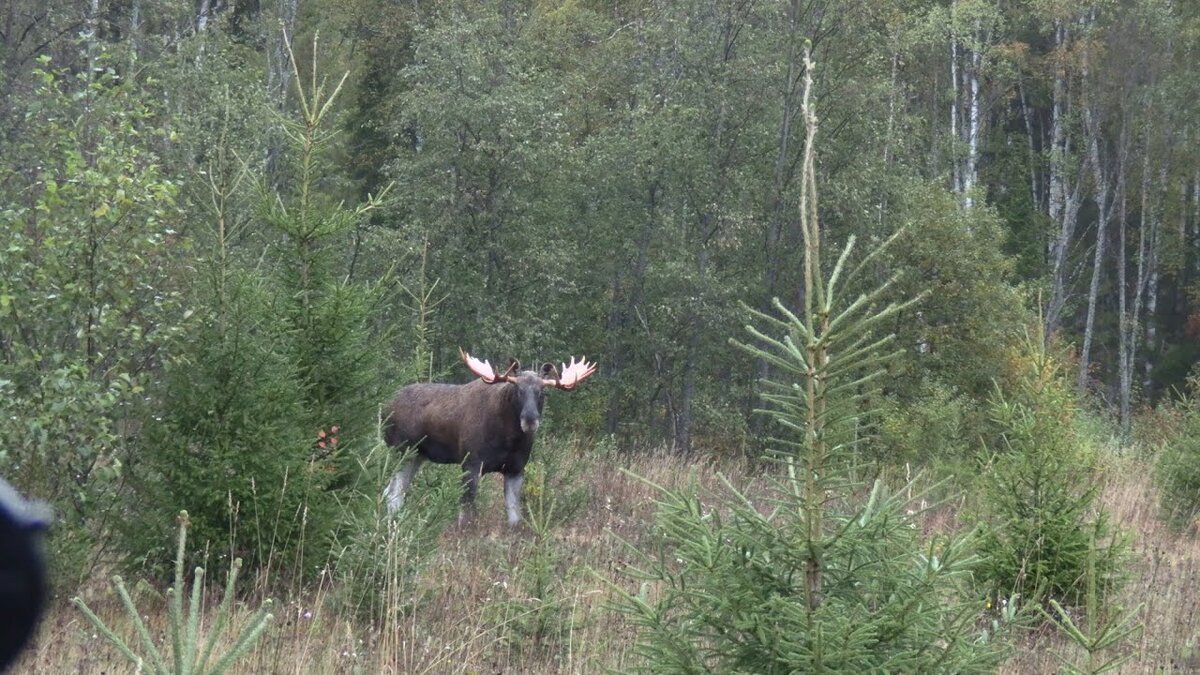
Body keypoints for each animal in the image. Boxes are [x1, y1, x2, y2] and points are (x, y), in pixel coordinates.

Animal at [379, 345, 595, 526]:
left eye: (543, 392)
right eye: (517, 389)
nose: (530, 420)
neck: (509, 439)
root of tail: (384, 407)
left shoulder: (516, 469)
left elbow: (514, 516)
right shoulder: (471, 463)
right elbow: (466, 513)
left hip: (417, 456)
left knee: (394, 492)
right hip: (400, 450)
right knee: (392, 492)